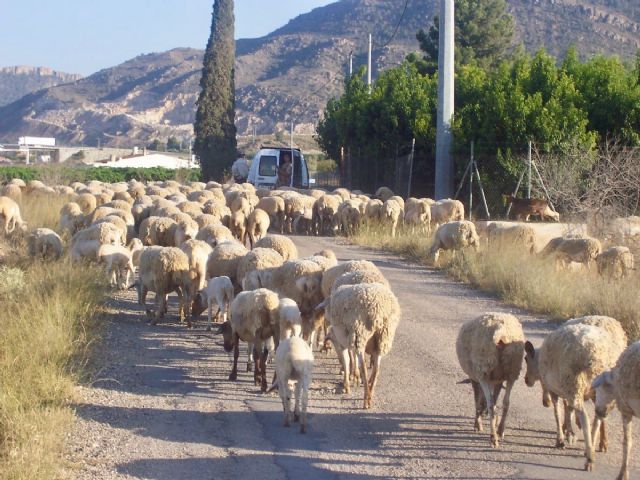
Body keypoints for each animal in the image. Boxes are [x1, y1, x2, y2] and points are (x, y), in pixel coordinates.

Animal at [456, 314, 524, 448]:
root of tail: (501, 334)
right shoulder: (498, 381)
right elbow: (495, 399)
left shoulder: (475, 378)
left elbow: (478, 401)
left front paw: (477, 424)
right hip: (512, 370)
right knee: (506, 402)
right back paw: (500, 430)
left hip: (484, 369)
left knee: (491, 405)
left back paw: (493, 438)